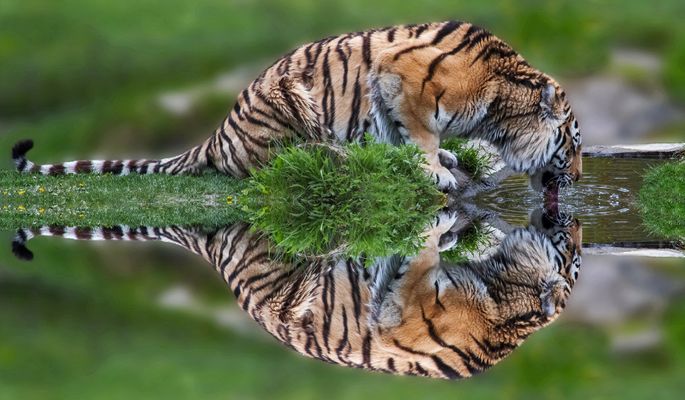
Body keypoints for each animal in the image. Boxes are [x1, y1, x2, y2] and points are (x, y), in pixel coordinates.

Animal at [12, 21, 582, 194]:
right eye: (573, 144)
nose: (577, 176)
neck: (500, 105)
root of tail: (218, 133)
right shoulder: (402, 76)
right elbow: (420, 133)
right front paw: (435, 169)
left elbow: (402, 131)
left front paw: (442, 160)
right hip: (290, 97)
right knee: (292, 160)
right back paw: (347, 158)